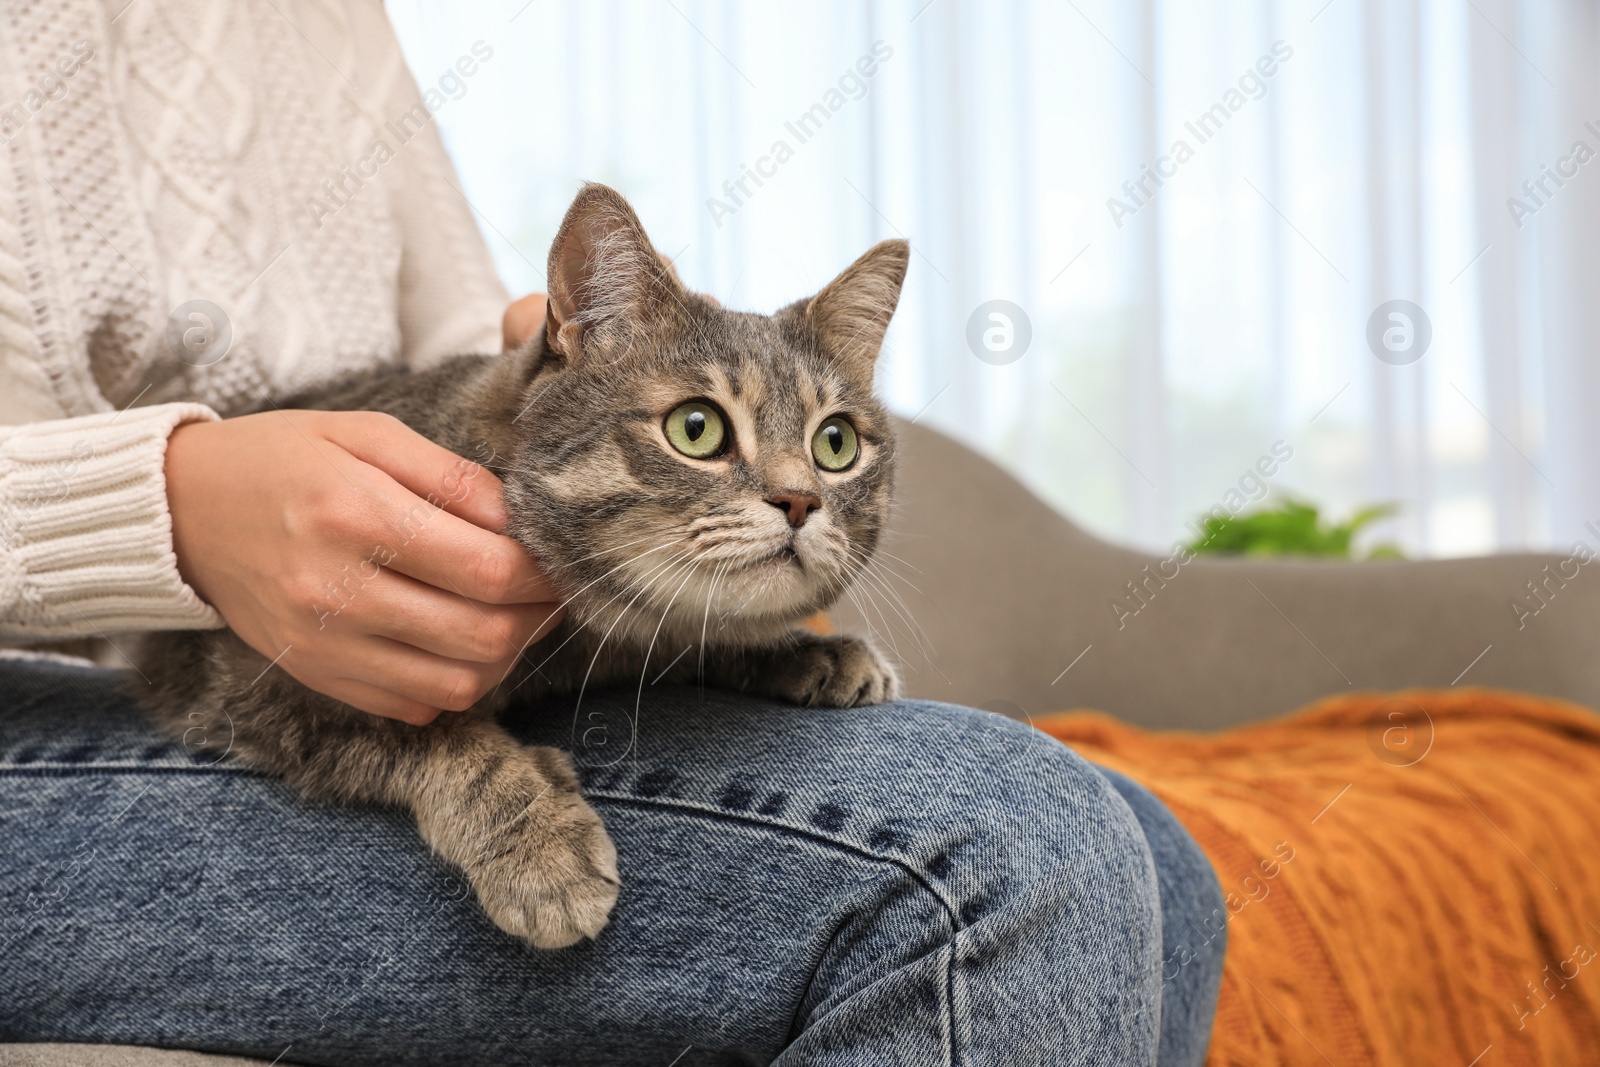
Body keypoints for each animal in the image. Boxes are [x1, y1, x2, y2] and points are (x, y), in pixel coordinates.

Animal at [136, 183, 908, 953]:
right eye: (697, 428)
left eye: (835, 443)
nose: (801, 499)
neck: (582, 635)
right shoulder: (271, 684)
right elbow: (440, 738)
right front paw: (540, 848)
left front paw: (808, 651)